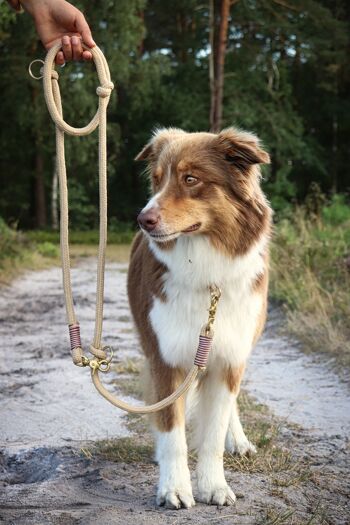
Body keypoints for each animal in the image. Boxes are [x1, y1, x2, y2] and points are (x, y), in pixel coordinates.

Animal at [127, 126, 272, 508]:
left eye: (190, 179)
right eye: (157, 180)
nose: (143, 220)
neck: (206, 271)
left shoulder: (229, 355)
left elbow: (213, 432)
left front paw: (213, 485)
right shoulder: (165, 357)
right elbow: (172, 431)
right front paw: (174, 488)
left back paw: (238, 440)